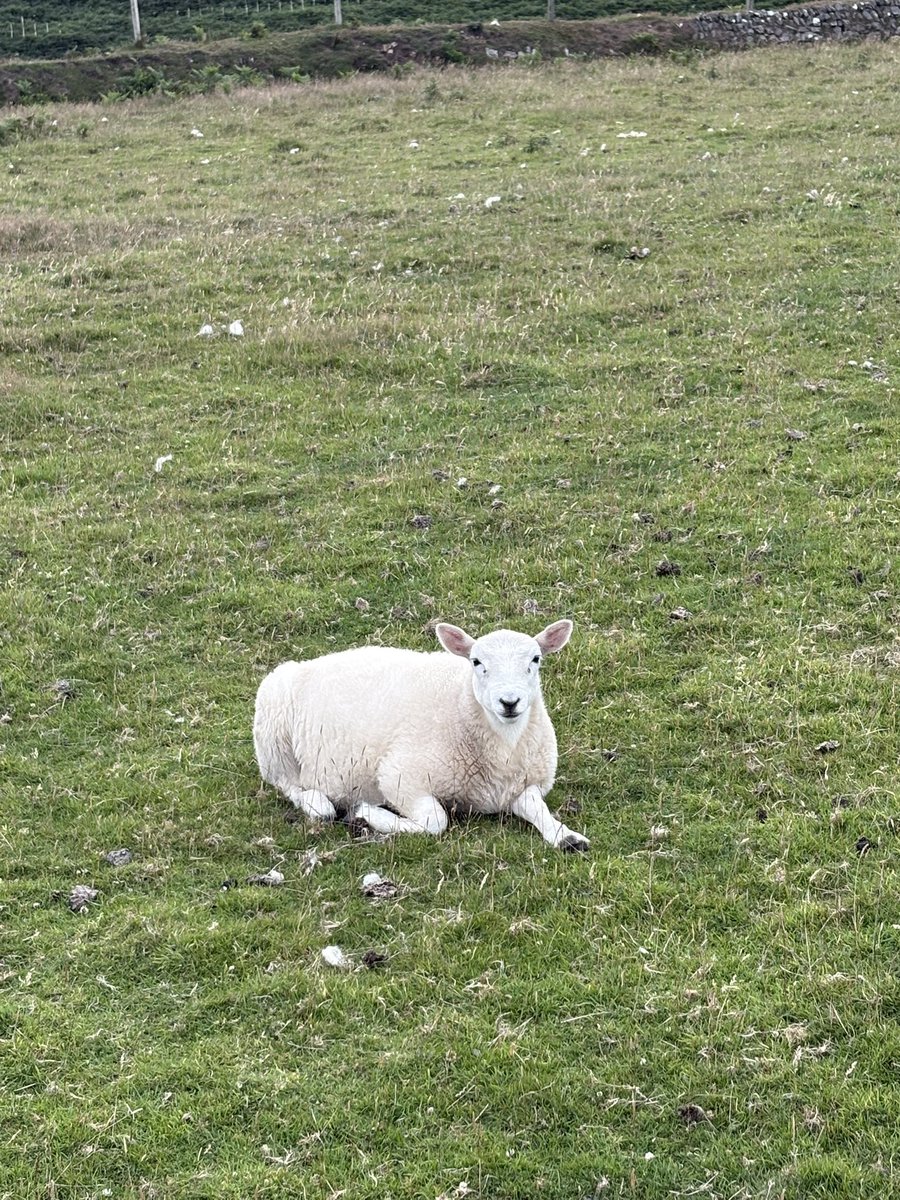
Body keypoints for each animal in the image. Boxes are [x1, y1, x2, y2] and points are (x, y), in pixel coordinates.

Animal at [253, 619, 590, 852]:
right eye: (476, 662)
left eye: (535, 659)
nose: (509, 702)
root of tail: (309, 662)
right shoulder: (399, 776)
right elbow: (435, 822)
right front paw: (368, 814)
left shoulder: (523, 785)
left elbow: (539, 809)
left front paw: (567, 836)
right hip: (273, 736)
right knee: (288, 784)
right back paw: (319, 805)